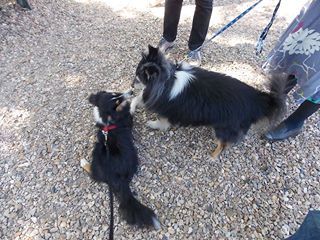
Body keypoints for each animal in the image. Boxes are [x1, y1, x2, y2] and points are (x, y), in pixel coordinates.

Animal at [80, 90, 159, 229]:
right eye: (116, 101)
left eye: (114, 93)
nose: (131, 91)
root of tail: (120, 177)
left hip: (97, 150)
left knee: (94, 173)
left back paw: (83, 162)